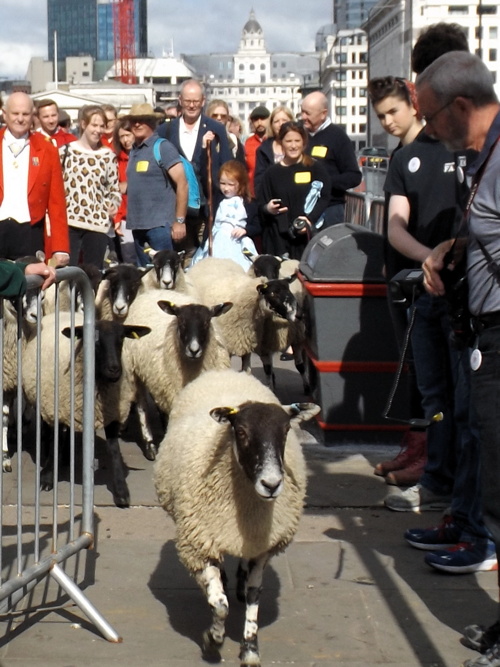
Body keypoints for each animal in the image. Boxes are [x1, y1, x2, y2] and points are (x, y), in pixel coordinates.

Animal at [153, 370, 320, 667]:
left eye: (286, 431)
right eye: (241, 432)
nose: (271, 484)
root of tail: (226, 371)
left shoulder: (262, 545)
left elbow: (255, 596)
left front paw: (250, 650)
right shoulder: (199, 544)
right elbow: (220, 606)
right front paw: (212, 640)